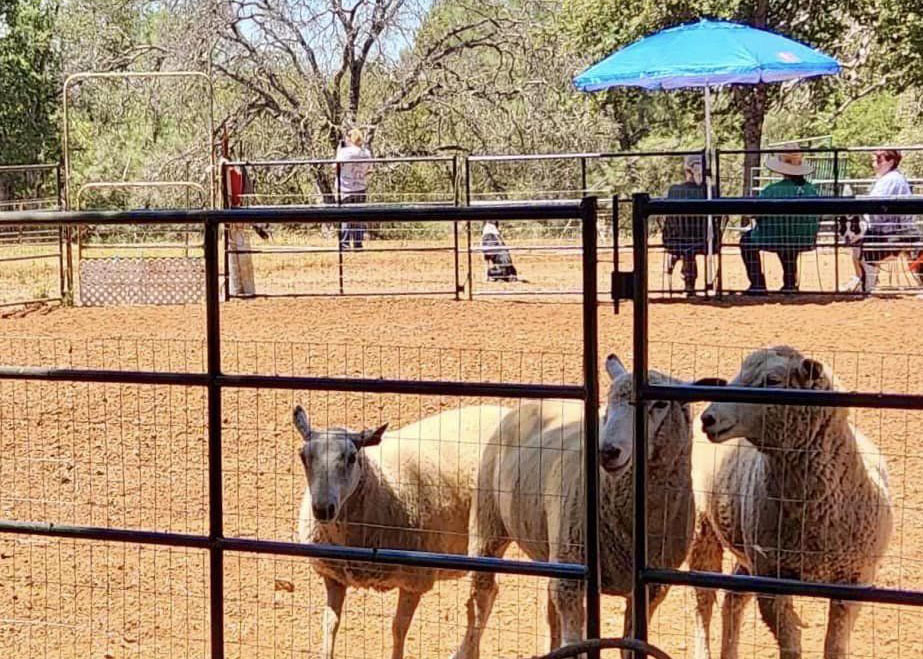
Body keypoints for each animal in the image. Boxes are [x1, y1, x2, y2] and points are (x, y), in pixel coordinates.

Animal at [294, 402, 512, 659]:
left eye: (352, 457)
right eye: (303, 456)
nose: (323, 509)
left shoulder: (414, 581)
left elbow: (398, 629)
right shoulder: (333, 576)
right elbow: (330, 626)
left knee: (482, 598)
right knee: (488, 594)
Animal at [454, 356, 716, 659]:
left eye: (661, 403)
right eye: (608, 401)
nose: (608, 451)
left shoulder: (651, 588)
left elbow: (629, 645)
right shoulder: (573, 577)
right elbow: (576, 643)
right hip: (489, 523)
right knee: (481, 597)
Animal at [692, 346, 896, 659]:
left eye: (773, 380)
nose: (709, 418)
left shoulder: (854, 580)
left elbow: (835, 646)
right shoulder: (771, 581)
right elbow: (790, 645)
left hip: (748, 552)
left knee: (733, 598)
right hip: (703, 529)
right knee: (703, 601)